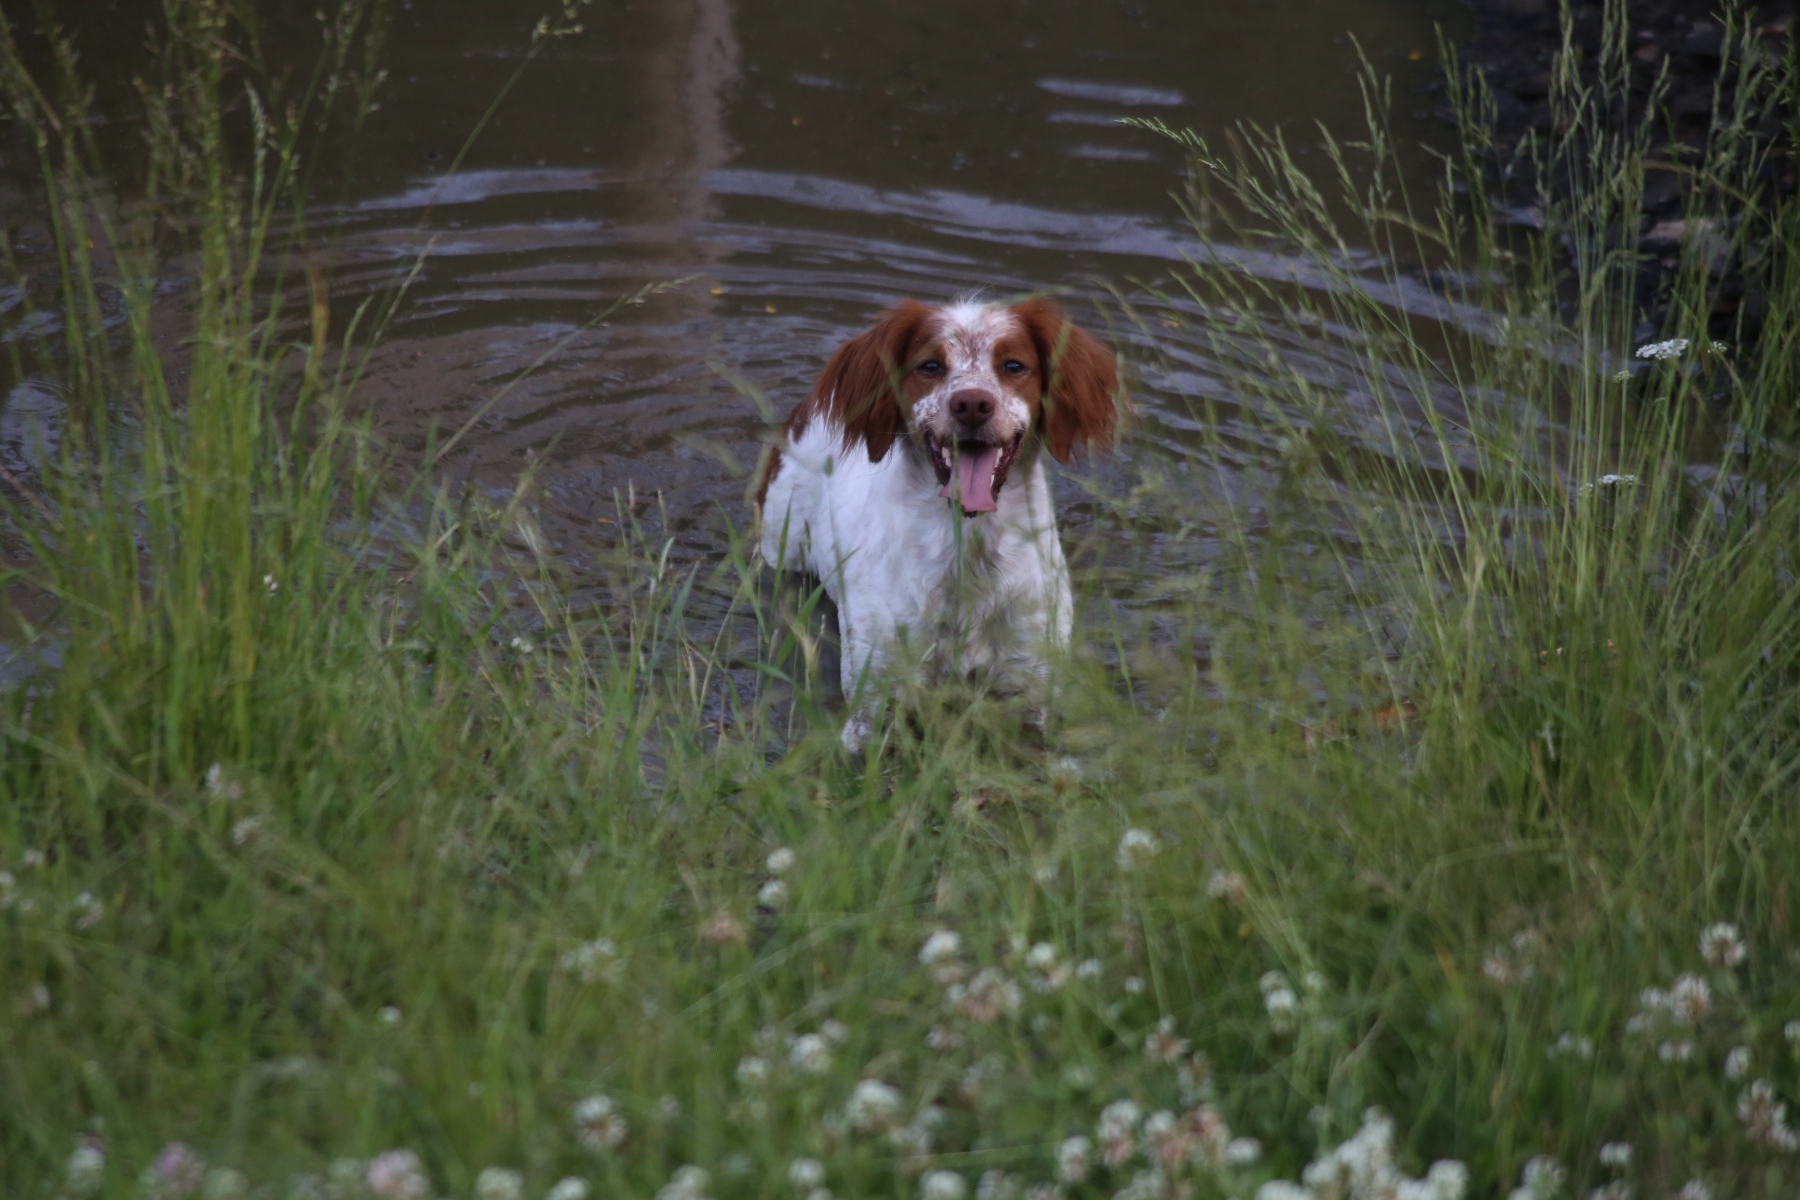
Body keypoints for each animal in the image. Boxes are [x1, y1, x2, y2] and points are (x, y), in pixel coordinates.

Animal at [755, 297, 1124, 751]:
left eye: (1013, 366)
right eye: (930, 366)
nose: (971, 404)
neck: (968, 553)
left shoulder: (1029, 696)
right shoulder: (873, 708)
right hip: (782, 549)